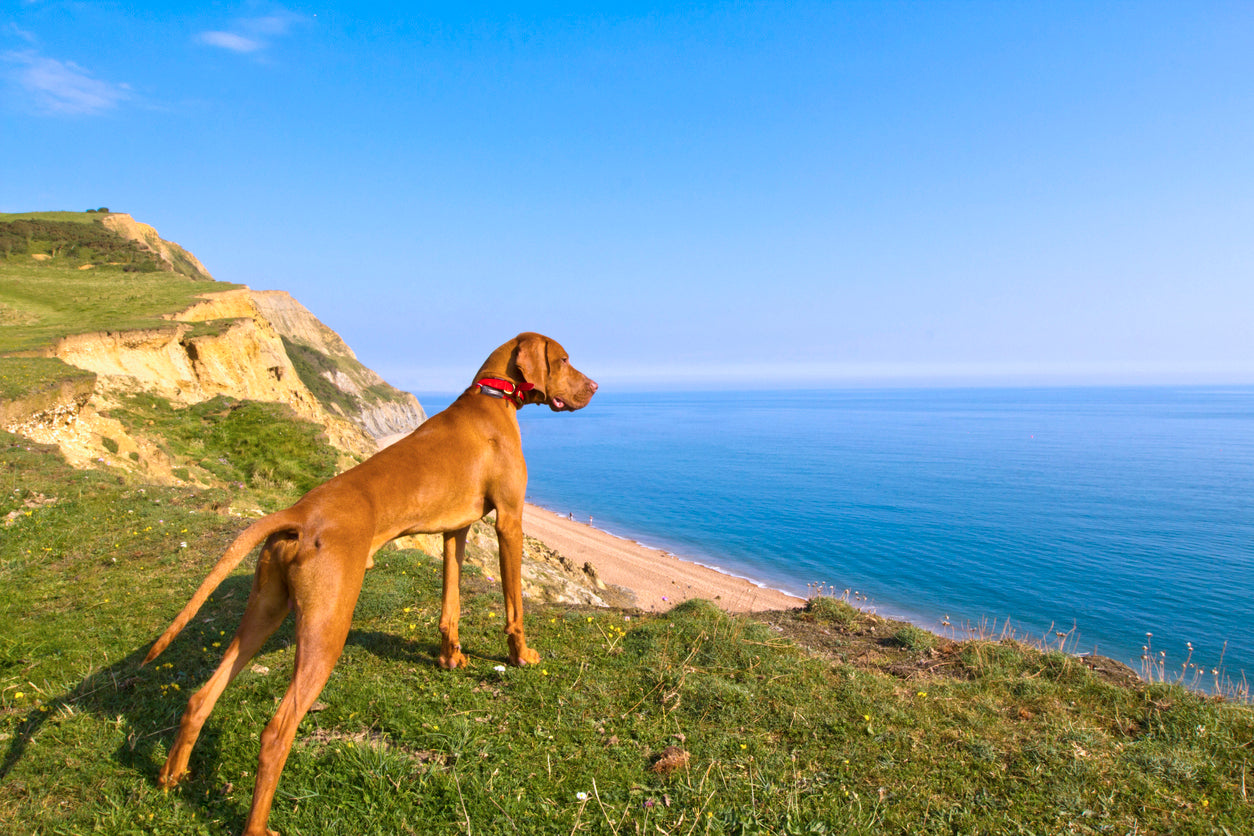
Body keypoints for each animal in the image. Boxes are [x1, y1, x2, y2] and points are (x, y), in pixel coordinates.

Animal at [144, 333, 594, 836]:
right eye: (563, 360)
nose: (595, 386)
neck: (492, 397)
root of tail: (298, 513)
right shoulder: (510, 522)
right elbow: (514, 606)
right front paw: (520, 656)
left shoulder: (455, 531)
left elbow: (450, 603)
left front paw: (450, 657)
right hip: (327, 629)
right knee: (276, 731)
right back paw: (257, 825)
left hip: (265, 609)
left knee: (200, 697)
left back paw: (171, 776)